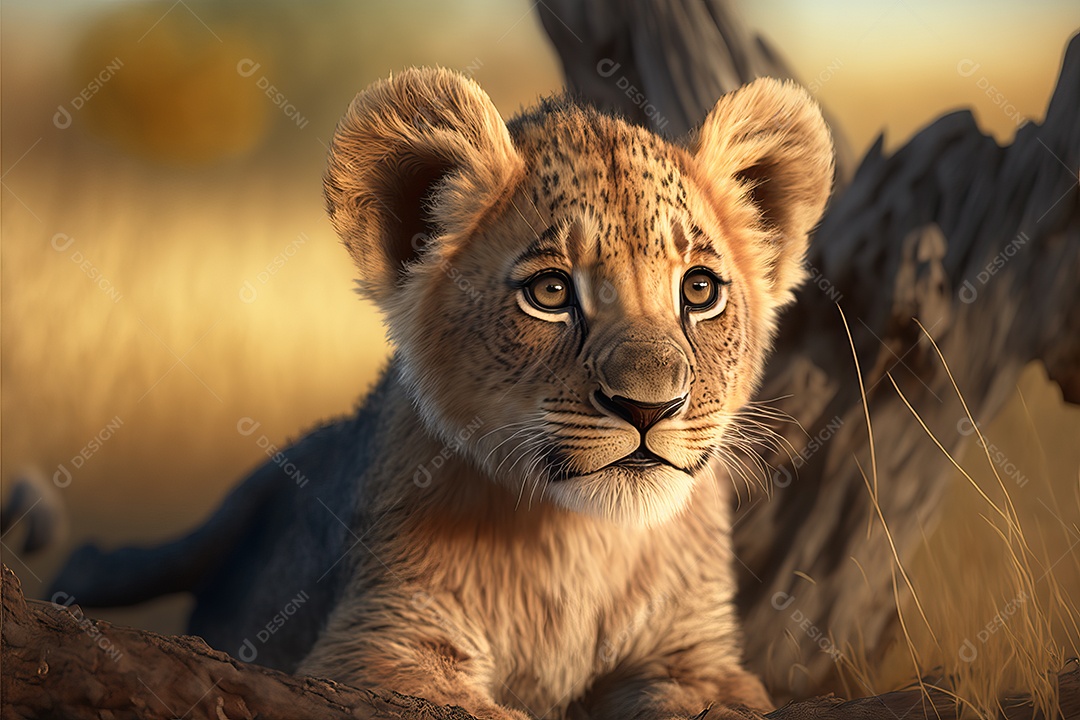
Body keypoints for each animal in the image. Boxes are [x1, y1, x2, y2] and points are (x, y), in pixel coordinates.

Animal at [50, 67, 833, 719]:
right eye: (551, 293)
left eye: (698, 290)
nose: (649, 408)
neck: (580, 542)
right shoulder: (375, 645)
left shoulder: (698, 657)